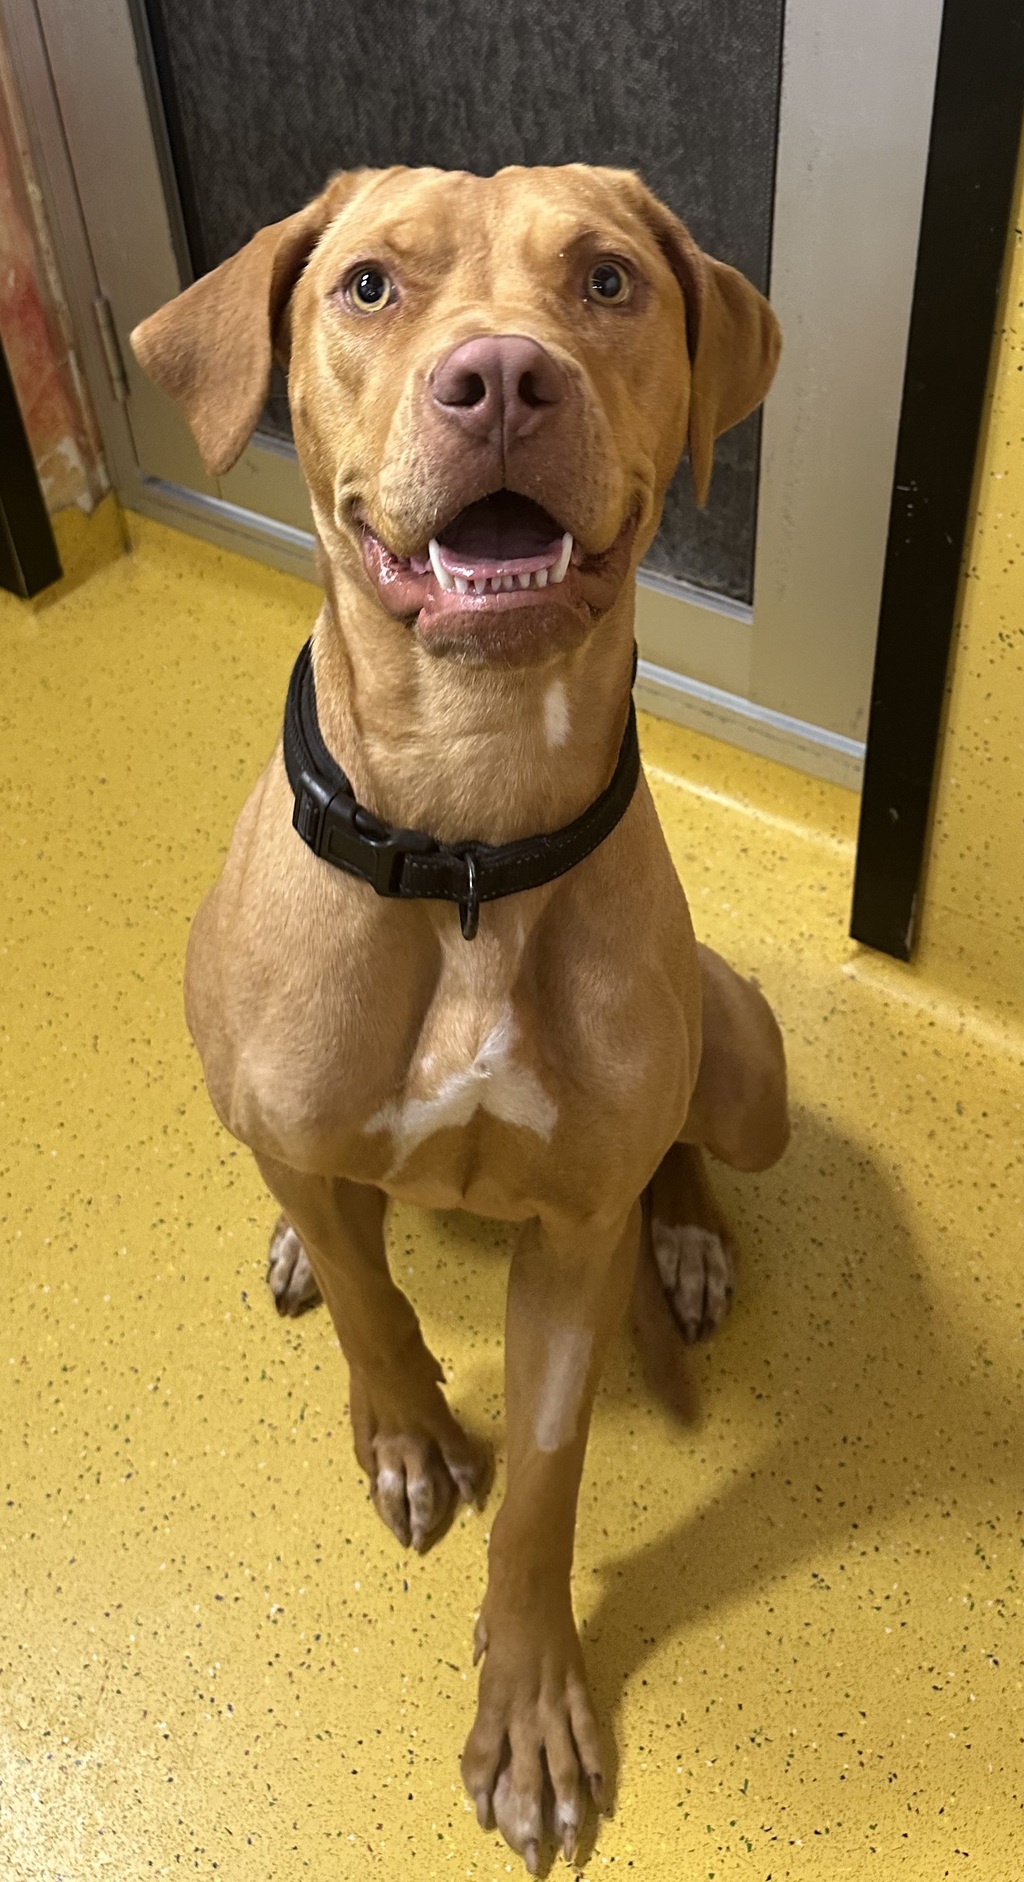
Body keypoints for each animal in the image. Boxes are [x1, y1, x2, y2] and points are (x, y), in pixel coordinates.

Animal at [131, 163, 788, 1872]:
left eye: (609, 280)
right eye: (369, 283)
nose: (500, 376)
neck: (472, 835)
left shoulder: (569, 1246)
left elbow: (550, 1486)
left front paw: (535, 1706)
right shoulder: (297, 1120)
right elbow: (373, 1308)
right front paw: (413, 1434)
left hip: (744, 1058)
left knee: (690, 1135)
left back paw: (688, 1234)